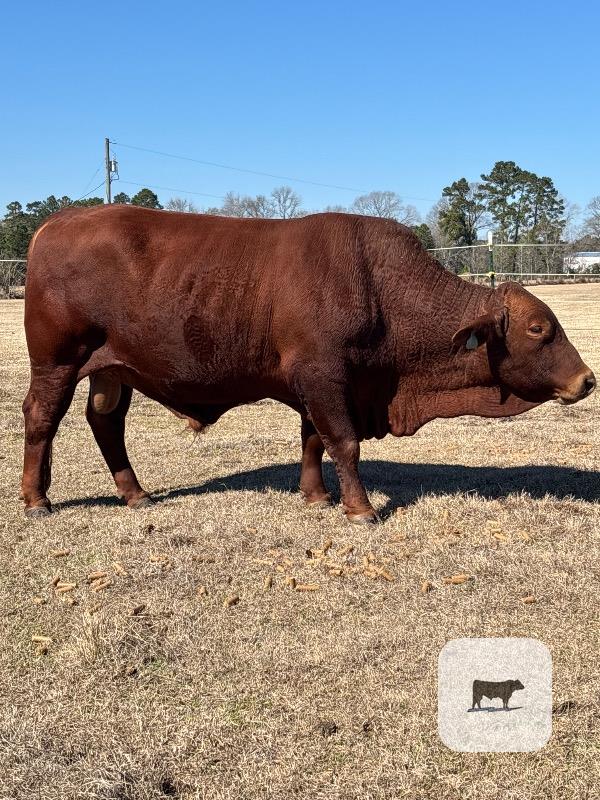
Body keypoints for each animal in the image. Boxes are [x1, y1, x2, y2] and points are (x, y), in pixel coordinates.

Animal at [21, 207, 596, 520]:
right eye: (539, 329)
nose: (587, 379)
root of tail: (59, 221)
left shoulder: (318, 383)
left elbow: (314, 440)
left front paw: (316, 496)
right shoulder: (323, 376)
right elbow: (344, 441)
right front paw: (360, 509)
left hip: (111, 370)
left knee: (105, 422)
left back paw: (135, 493)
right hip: (57, 361)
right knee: (41, 417)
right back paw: (35, 498)